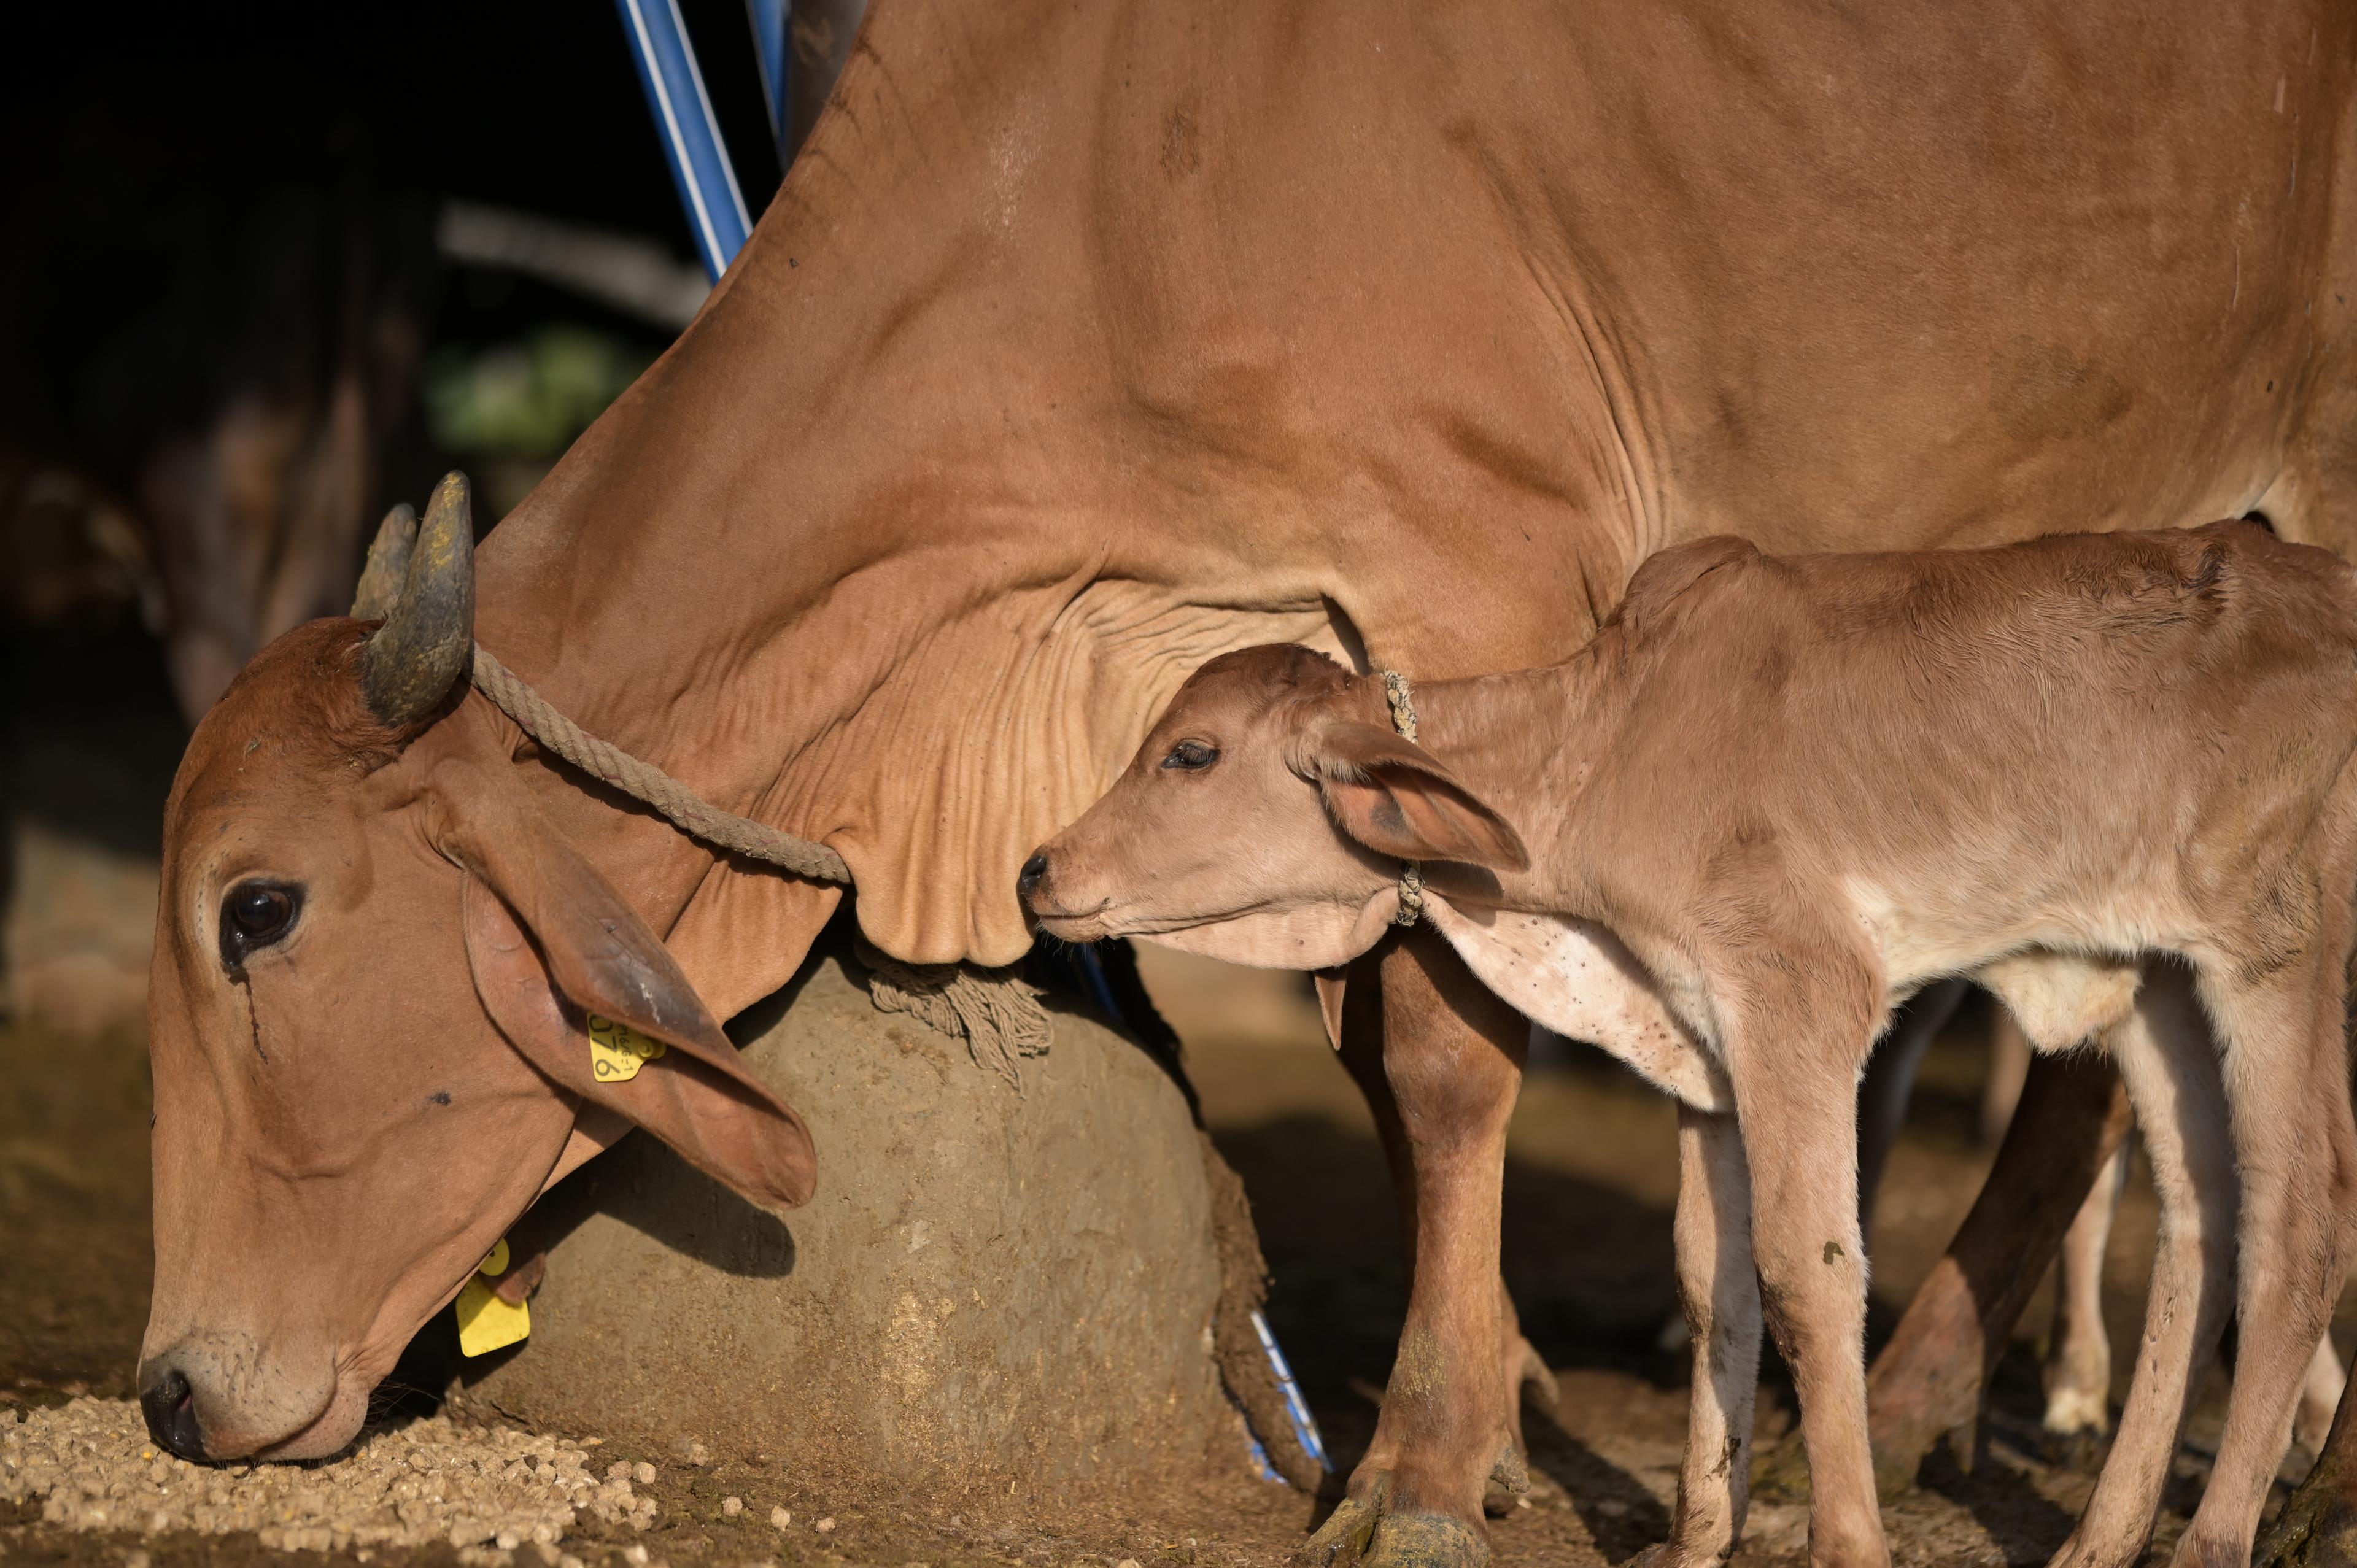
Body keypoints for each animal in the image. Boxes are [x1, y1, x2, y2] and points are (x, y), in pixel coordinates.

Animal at [1028, 525, 2357, 1566]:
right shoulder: (1702, 1049)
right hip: (2160, 987)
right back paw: (2104, 1533)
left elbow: (1808, 1272)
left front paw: (1845, 1542)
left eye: (1191, 752)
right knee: (2203, 1226)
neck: (1603, 749)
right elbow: (1710, 1273)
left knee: (2301, 1227)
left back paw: (2214, 1535)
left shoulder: (1797, 1001)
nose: (1040, 868)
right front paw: (1697, 1532)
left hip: (2279, 962)